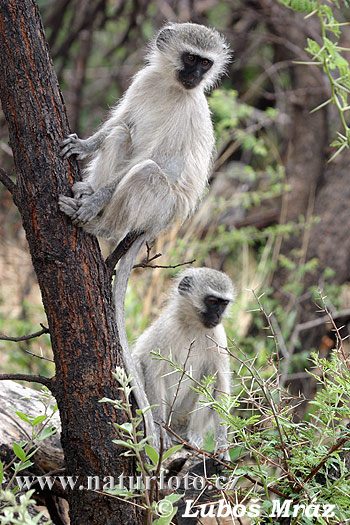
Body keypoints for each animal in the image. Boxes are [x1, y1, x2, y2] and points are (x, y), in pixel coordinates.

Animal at [58, 22, 230, 444]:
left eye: (206, 63)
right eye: (190, 58)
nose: (196, 76)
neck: (172, 87)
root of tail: (160, 224)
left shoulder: (188, 112)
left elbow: (163, 162)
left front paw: (96, 200)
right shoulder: (144, 80)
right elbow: (121, 120)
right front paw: (85, 144)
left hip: (160, 206)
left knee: (148, 169)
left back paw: (98, 219)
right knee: (123, 133)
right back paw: (90, 195)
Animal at [133, 268, 234, 456]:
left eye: (224, 304)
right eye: (212, 301)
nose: (218, 316)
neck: (193, 324)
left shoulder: (218, 336)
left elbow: (221, 385)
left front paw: (222, 443)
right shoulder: (167, 329)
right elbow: (154, 374)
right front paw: (159, 430)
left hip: (182, 415)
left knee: (210, 381)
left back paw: (192, 436)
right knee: (135, 363)